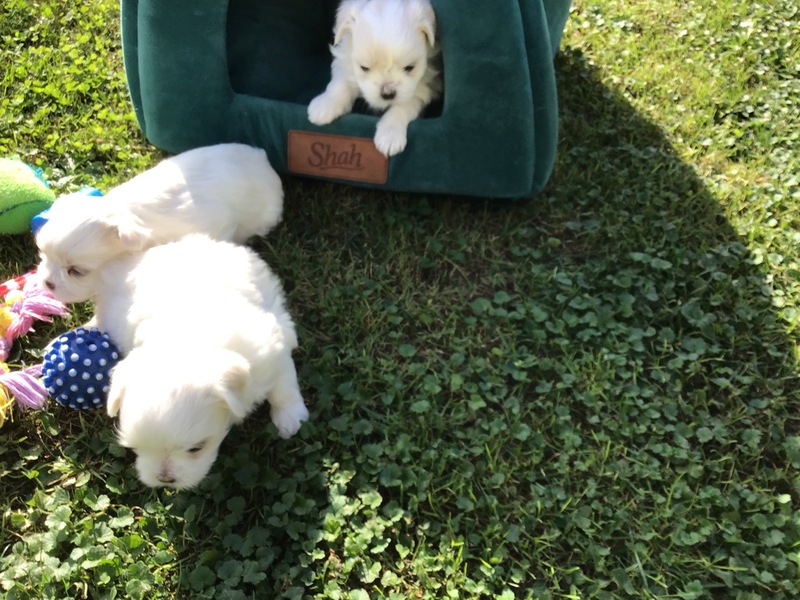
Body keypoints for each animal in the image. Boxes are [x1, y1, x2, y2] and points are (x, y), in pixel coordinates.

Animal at [96, 234, 308, 489]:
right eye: (136, 448)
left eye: (196, 448)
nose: (165, 479)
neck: (190, 341)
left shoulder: (274, 352)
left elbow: (284, 387)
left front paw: (290, 418)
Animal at [307, 0, 442, 156]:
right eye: (364, 68)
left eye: (409, 67)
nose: (387, 93)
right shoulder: (344, 61)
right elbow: (340, 84)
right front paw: (324, 106)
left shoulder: (424, 87)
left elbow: (402, 107)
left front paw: (390, 136)